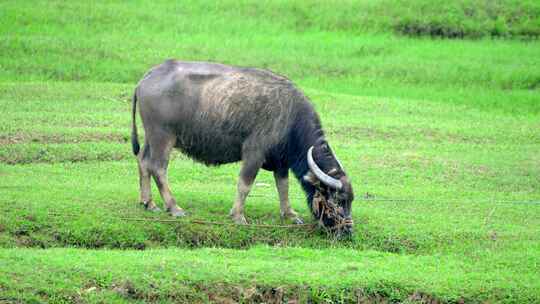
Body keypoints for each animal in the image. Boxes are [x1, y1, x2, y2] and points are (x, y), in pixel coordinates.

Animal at [131, 60, 354, 235]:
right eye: (337, 200)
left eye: (351, 200)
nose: (347, 230)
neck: (291, 117)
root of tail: (147, 77)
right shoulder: (254, 153)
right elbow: (245, 185)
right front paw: (238, 215)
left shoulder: (281, 161)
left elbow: (283, 187)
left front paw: (289, 214)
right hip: (163, 137)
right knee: (158, 168)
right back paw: (175, 208)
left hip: (151, 137)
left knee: (143, 161)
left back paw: (148, 203)